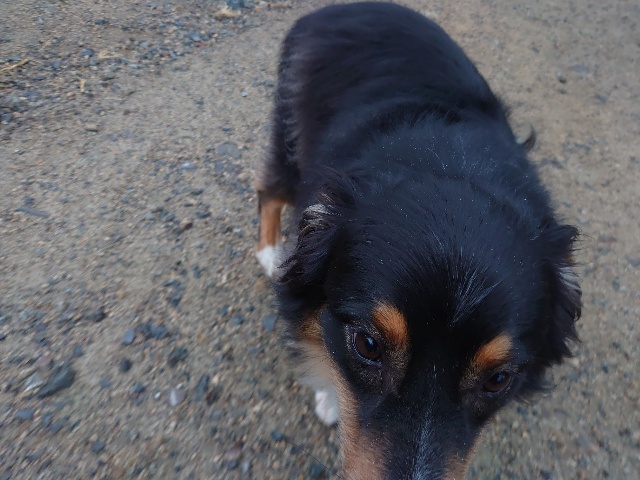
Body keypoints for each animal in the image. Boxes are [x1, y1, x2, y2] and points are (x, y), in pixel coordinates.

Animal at [255, 3, 581, 478]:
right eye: (368, 345)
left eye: (498, 379)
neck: (450, 168)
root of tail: (337, 8)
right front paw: (331, 394)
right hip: (291, 138)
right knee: (270, 189)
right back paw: (268, 253)